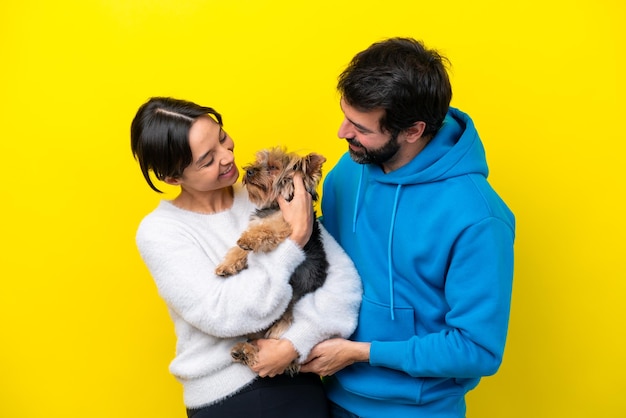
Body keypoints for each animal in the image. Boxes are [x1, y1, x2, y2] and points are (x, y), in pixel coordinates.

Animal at [214, 147, 330, 376]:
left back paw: (248, 353)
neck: (274, 206)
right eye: (259, 161)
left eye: (275, 167)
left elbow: (266, 230)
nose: (249, 171)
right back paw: (243, 350)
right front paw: (227, 265)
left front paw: (249, 239)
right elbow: (238, 250)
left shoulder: (285, 225)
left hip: (284, 330)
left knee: (287, 358)